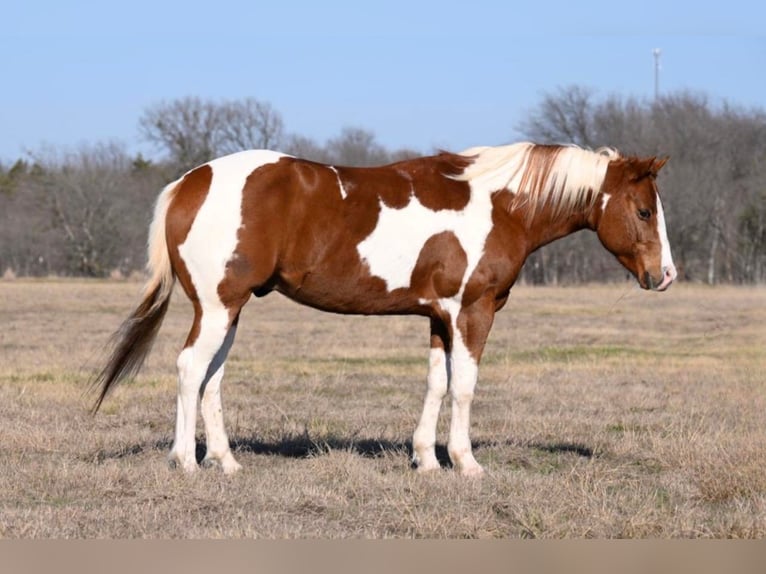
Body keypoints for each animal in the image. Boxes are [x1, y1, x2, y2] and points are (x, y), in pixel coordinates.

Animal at [91, 143, 680, 476]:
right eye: (644, 211)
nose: (666, 276)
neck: (500, 204)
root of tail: (191, 180)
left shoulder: (439, 317)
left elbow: (437, 385)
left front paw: (425, 460)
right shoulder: (472, 312)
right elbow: (464, 388)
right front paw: (466, 463)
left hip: (229, 311)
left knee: (211, 377)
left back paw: (226, 462)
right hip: (216, 308)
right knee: (191, 369)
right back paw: (186, 462)